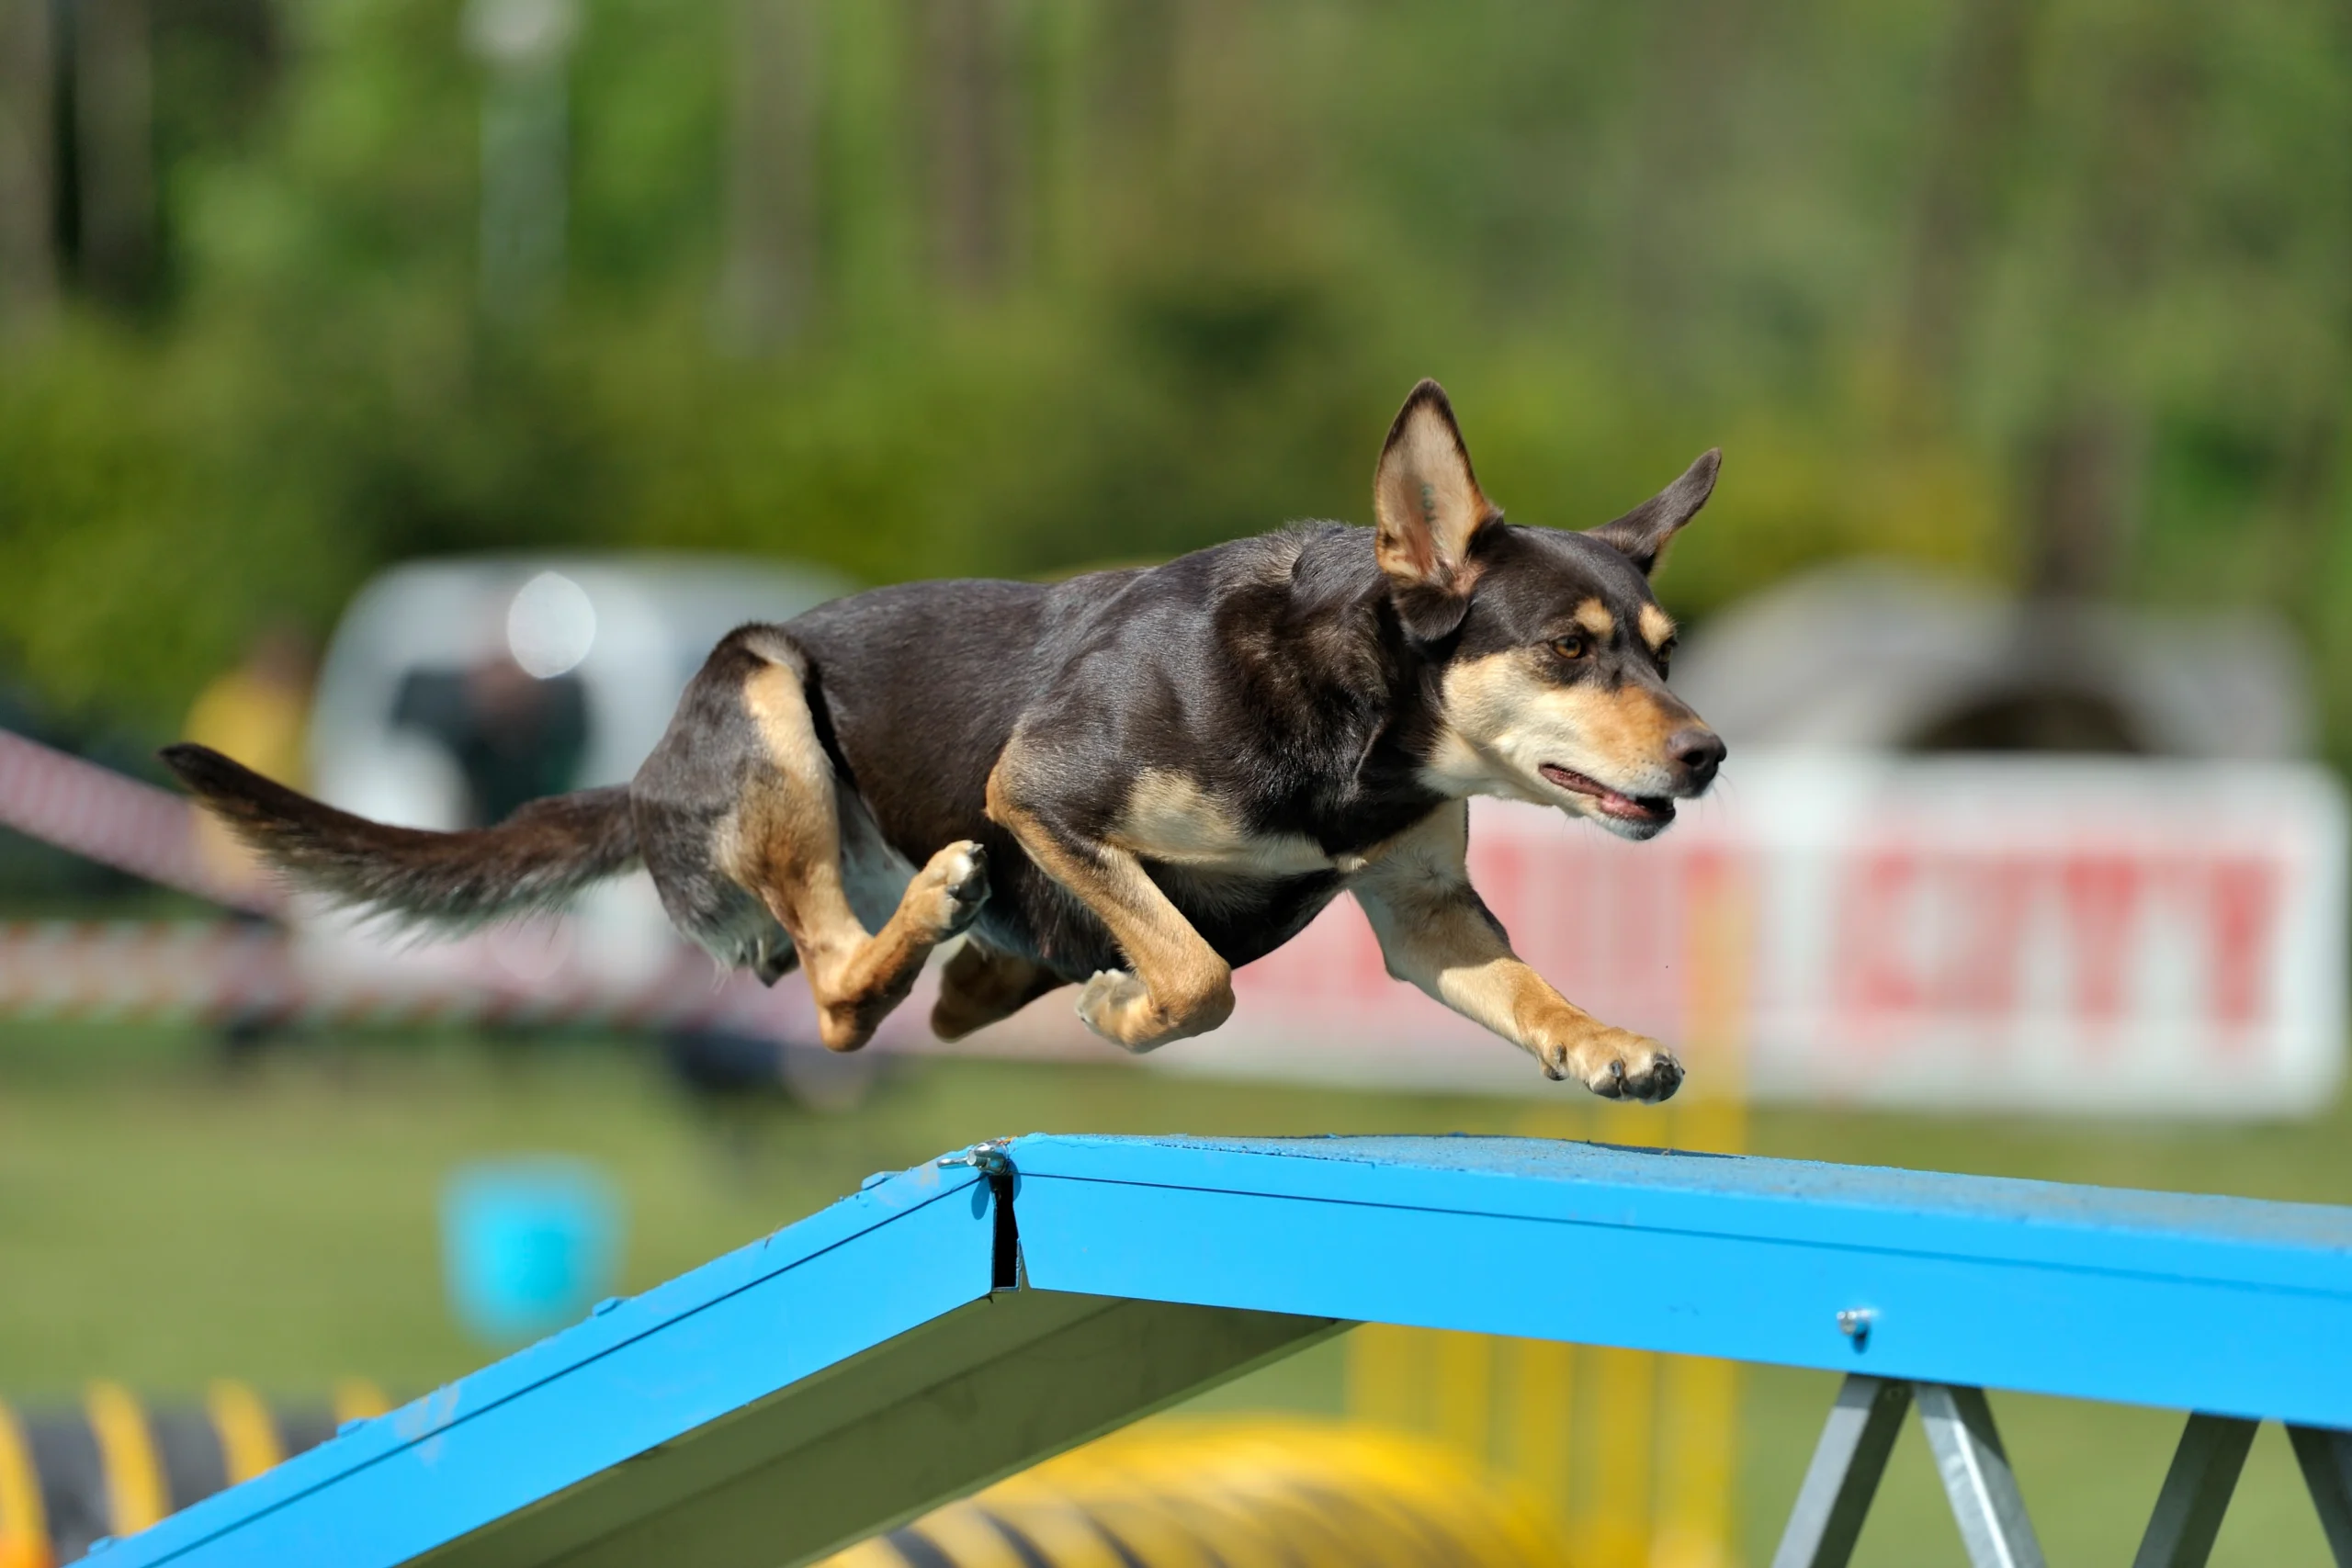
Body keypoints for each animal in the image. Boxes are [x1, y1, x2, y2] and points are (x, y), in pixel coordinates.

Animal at [165, 380, 1731, 1100]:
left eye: (1662, 649)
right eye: (1568, 647)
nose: (1708, 754)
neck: (1359, 735)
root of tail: (643, 777)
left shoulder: (1420, 903)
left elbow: (1517, 982)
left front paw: (1603, 1046)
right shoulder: (1045, 793)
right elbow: (1199, 971)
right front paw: (1131, 1008)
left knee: (909, 997)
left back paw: (979, 965)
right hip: (767, 697)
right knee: (839, 995)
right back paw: (940, 916)